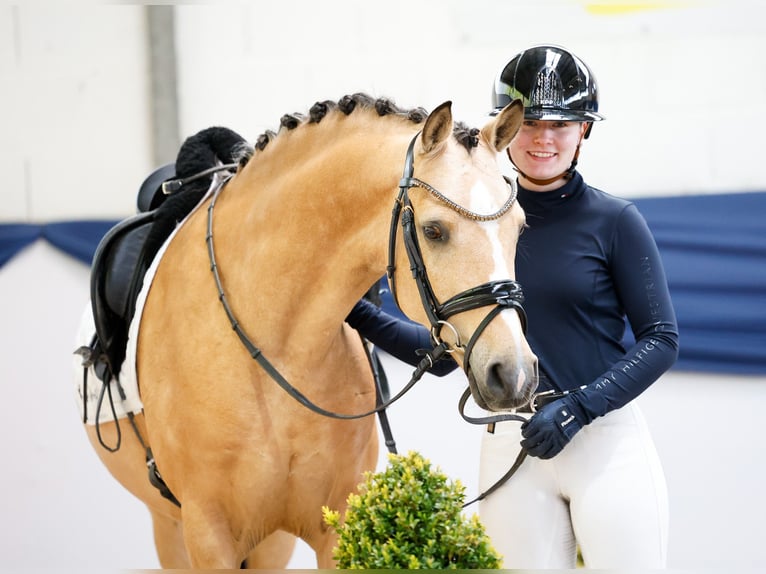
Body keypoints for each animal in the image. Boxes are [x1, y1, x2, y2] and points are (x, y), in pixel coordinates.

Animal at [74, 93, 537, 568]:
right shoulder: (207, 534)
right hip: (169, 527)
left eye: (519, 227)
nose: (513, 374)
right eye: (433, 230)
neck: (278, 348)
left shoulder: (337, 527)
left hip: (269, 542)